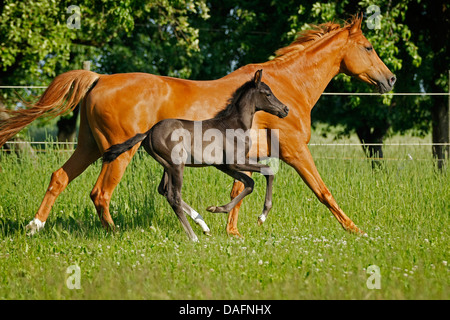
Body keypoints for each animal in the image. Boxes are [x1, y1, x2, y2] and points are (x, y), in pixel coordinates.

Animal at [0, 16, 394, 236]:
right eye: (368, 46)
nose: (390, 79)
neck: (287, 85)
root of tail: (99, 77)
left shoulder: (245, 155)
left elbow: (240, 187)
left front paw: (230, 230)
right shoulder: (295, 150)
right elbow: (322, 191)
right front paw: (356, 230)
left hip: (91, 146)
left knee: (59, 177)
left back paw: (35, 227)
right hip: (119, 153)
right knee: (101, 193)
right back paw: (115, 233)